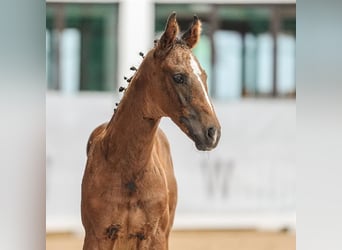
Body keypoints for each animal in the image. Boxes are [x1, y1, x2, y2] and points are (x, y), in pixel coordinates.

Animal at [81, 12, 220, 249]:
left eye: (204, 76)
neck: (128, 170)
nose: (213, 132)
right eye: (178, 76)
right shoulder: (96, 236)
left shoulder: (154, 237)